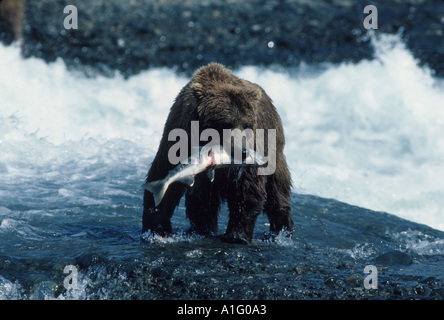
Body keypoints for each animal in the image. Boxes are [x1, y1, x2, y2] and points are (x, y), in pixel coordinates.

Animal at [144, 62, 294, 242]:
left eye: (247, 124)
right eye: (226, 124)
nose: (243, 151)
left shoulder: (254, 146)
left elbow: (247, 189)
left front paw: (237, 235)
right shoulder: (178, 136)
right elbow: (163, 175)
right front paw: (156, 227)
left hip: (273, 149)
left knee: (277, 193)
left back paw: (281, 231)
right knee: (202, 200)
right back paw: (202, 229)